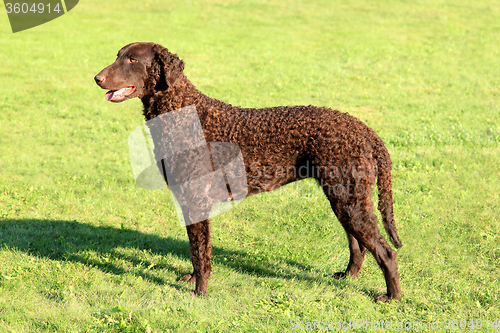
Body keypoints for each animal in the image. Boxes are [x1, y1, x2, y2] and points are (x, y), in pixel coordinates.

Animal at [94, 41, 402, 300]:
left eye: (133, 59)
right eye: (117, 55)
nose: (97, 78)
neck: (182, 113)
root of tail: (364, 130)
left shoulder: (196, 198)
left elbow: (200, 251)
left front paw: (199, 292)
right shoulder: (188, 201)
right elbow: (196, 248)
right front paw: (193, 279)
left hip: (349, 199)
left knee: (385, 251)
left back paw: (392, 297)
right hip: (344, 197)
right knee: (358, 245)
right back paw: (347, 277)